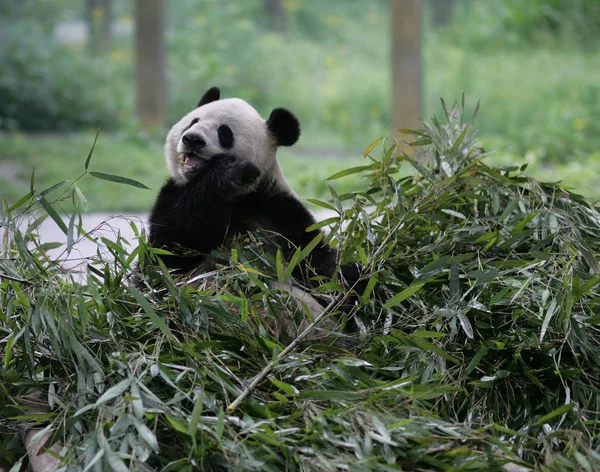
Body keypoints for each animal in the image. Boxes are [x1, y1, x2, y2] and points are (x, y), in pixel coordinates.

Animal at [148, 86, 360, 290]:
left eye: (224, 132)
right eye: (193, 121)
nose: (192, 139)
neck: (239, 197)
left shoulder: (279, 211)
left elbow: (318, 264)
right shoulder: (173, 193)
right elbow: (170, 250)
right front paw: (229, 170)